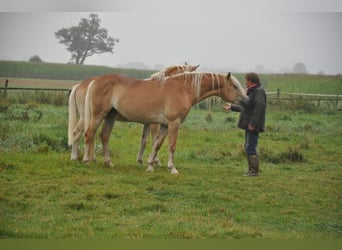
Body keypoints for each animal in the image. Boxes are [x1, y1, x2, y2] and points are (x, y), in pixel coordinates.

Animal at [68, 63, 199, 162]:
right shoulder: (154, 124)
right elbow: (154, 140)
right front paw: (156, 161)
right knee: (80, 133)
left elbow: (144, 141)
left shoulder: (147, 122)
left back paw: (86, 158)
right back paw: (77, 157)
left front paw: (141, 160)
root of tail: (82, 84)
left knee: (85, 134)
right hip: (88, 116)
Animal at [83, 71, 248, 174]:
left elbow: (157, 144)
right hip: (98, 115)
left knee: (104, 137)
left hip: (110, 117)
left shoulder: (164, 125)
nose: (247, 101)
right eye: (235, 86)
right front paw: (172, 168)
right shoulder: (174, 123)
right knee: (89, 134)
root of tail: (95, 81)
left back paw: (109, 163)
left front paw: (150, 166)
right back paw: (86, 161)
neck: (183, 89)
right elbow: (171, 146)